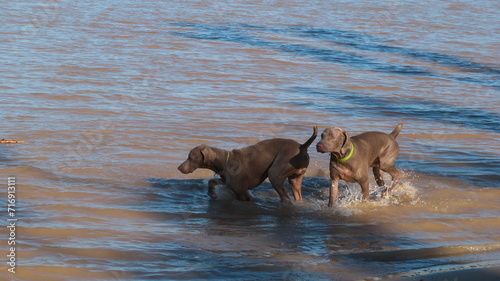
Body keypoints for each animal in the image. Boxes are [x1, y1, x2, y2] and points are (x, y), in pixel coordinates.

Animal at [178, 126, 316, 201]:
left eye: (191, 157)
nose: (179, 168)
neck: (225, 161)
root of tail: (302, 147)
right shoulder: (227, 182)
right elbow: (212, 182)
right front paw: (211, 193)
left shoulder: (243, 193)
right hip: (295, 179)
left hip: (275, 173)